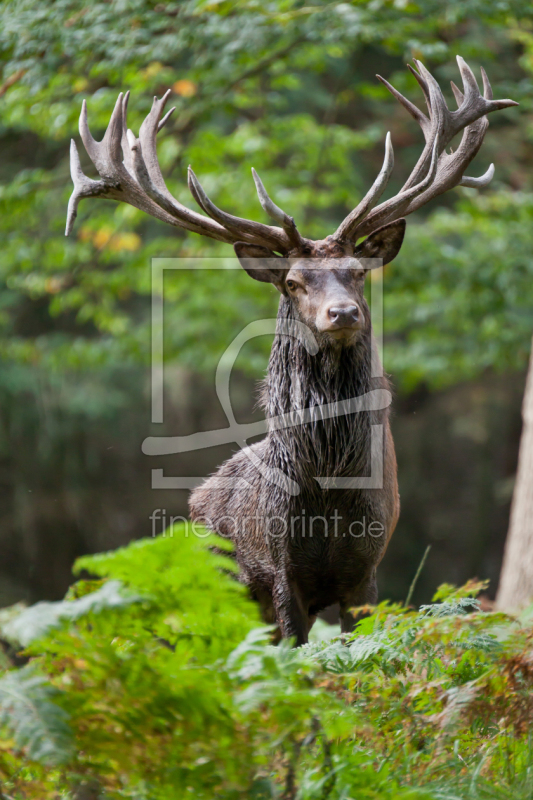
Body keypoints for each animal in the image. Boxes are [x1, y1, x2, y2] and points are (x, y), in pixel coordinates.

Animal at [65, 57, 516, 644]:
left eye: (357, 273)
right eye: (295, 282)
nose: (342, 313)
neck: (328, 488)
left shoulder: (366, 571)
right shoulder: (281, 572)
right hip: (220, 586)